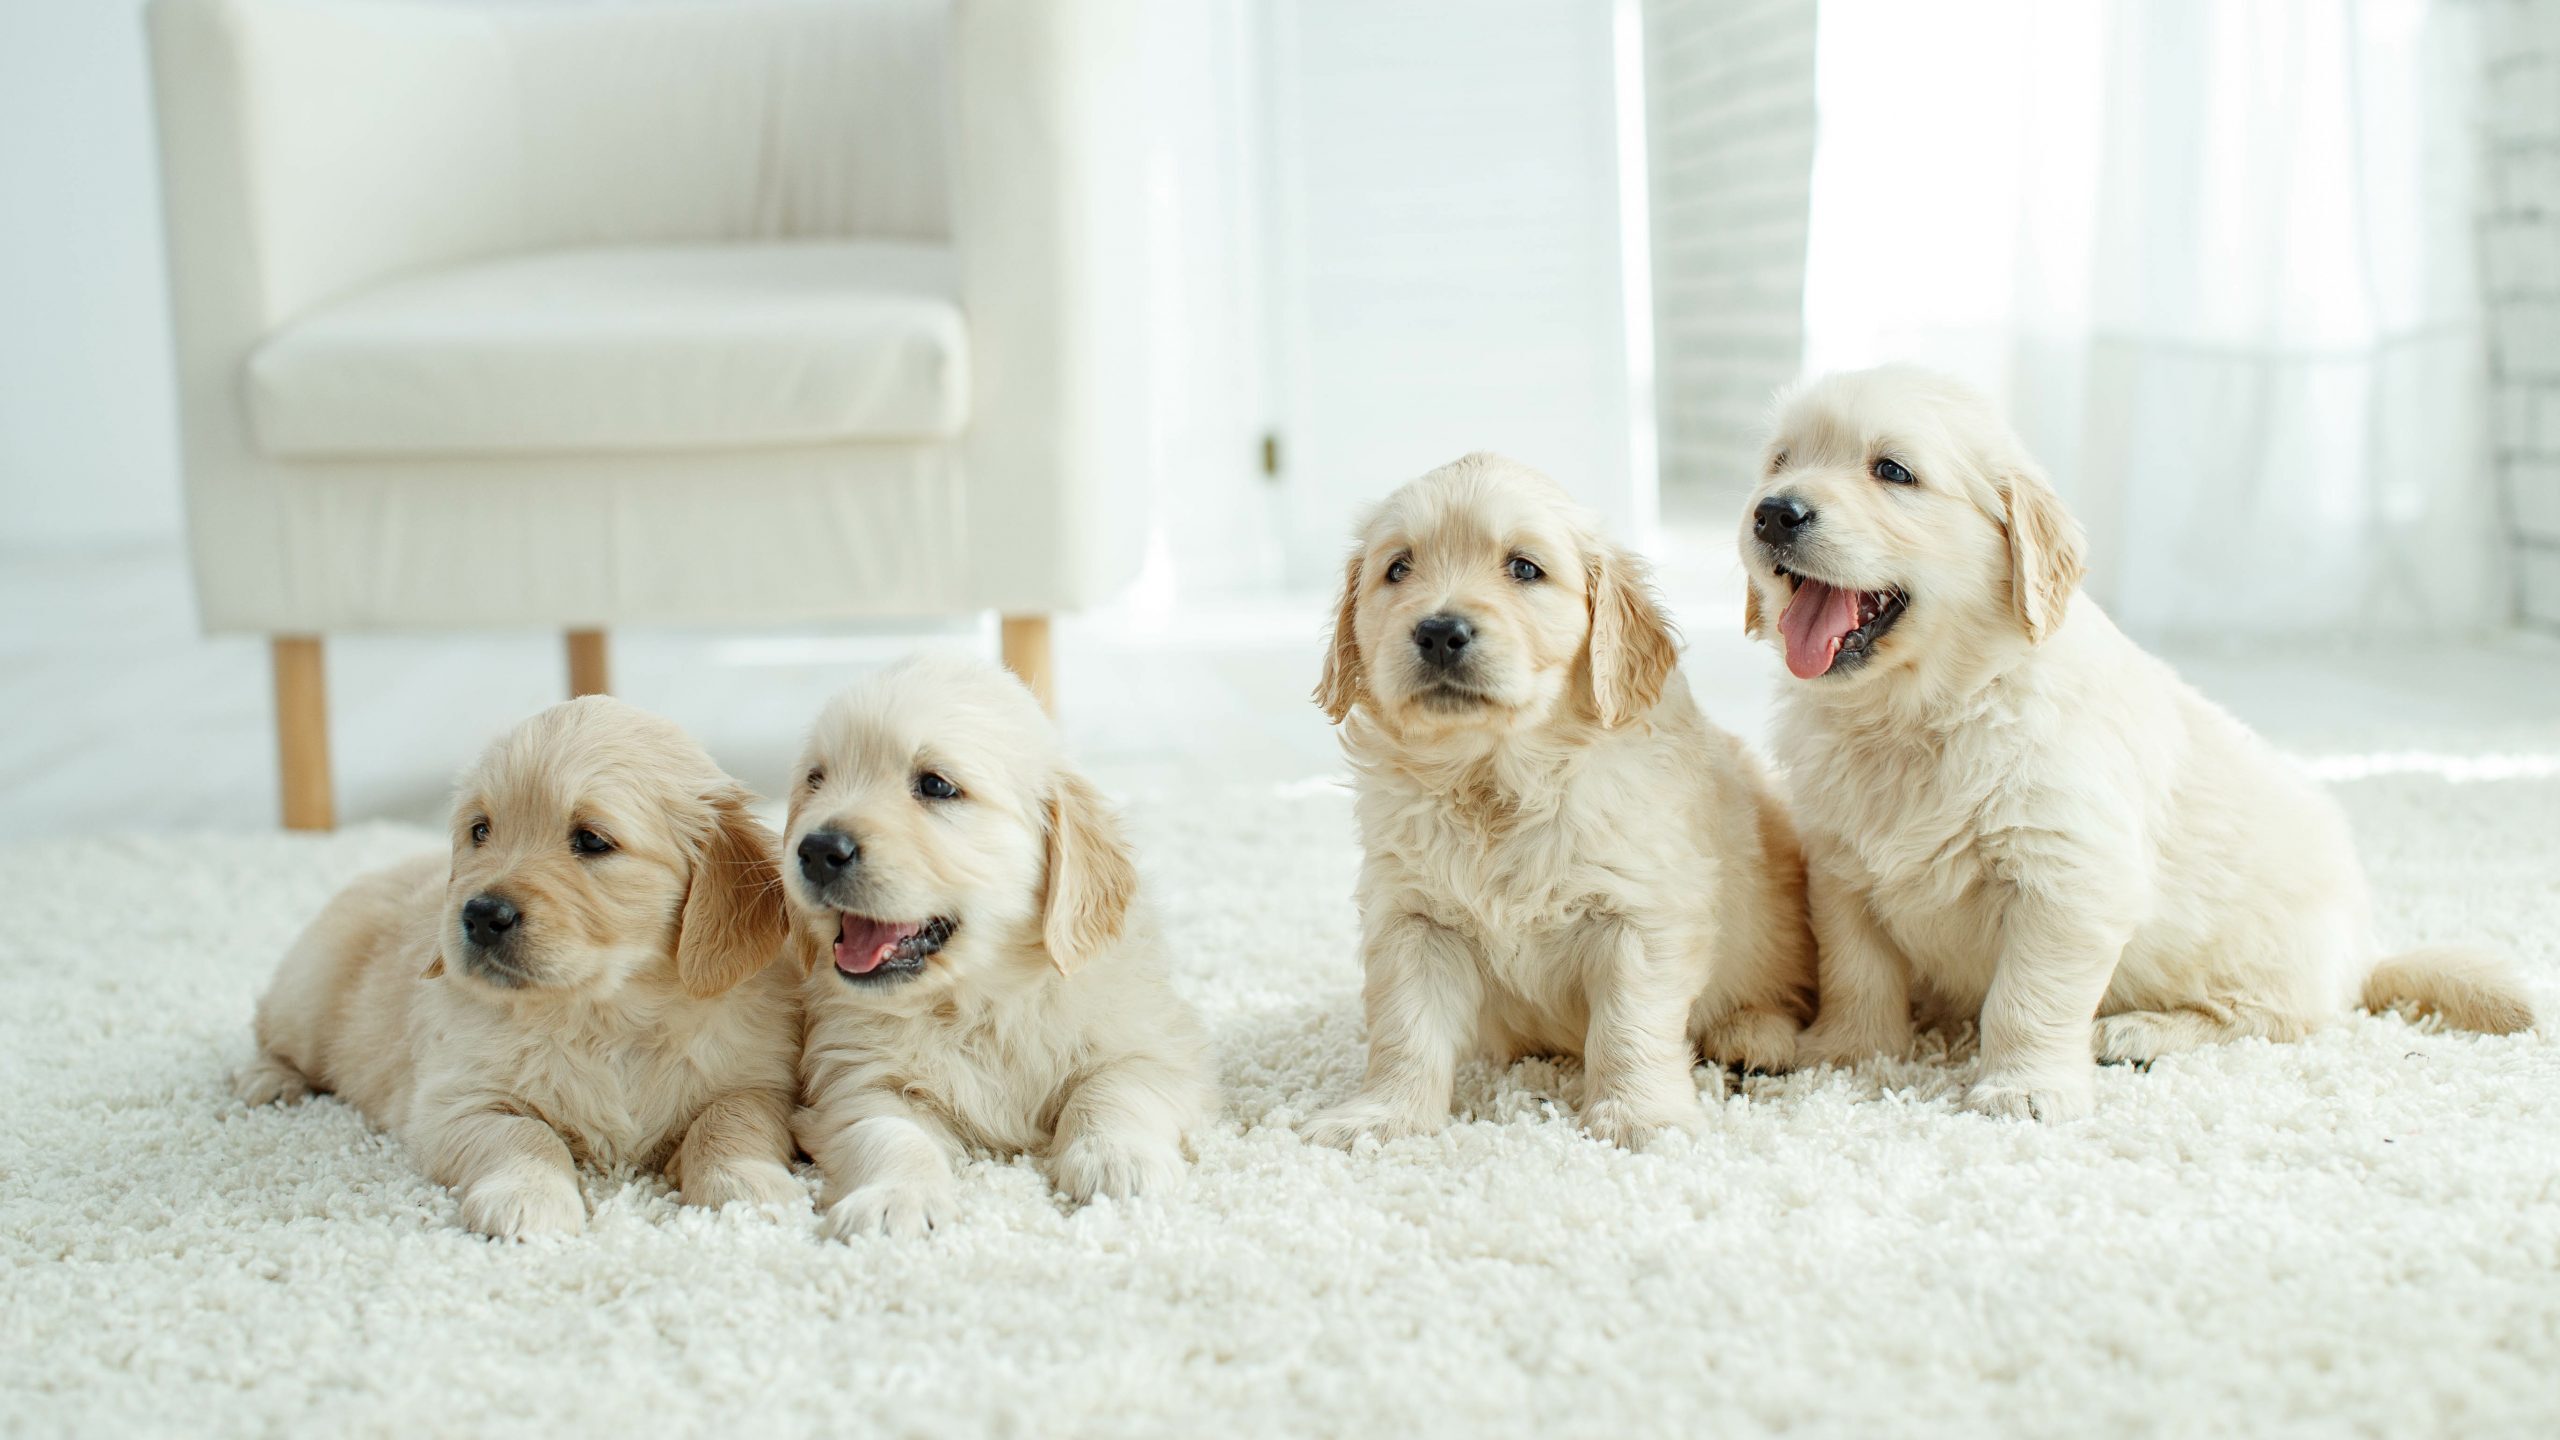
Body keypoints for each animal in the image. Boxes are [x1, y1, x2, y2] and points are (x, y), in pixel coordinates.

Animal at [239, 696, 803, 1235]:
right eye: (480, 831)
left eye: (592, 840)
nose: (481, 914)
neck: (608, 1017)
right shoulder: (457, 1100)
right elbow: (523, 1133)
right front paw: (529, 1199)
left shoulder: (761, 1080)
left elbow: (729, 1121)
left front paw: (745, 1189)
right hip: (311, 994)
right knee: (270, 1030)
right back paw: (269, 1080)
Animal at [783, 650, 1213, 1235]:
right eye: (816, 779)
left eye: (935, 786)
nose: (817, 849)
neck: (979, 1002)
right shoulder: (855, 1077)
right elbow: (888, 1133)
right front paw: (896, 1198)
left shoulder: (1151, 1040)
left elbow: (1112, 1088)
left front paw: (1117, 1160)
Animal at [1300, 448, 1822, 1142]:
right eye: (1398, 568)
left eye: (1525, 568)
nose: (1439, 631)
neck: (1496, 777)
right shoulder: (1412, 917)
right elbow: (1405, 1030)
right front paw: (1383, 1115)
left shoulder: (1641, 912)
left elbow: (1630, 1026)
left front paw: (1639, 1115)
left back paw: (1753, 1036)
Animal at [1740, 361, 2539, 1122]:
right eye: (1780, 461)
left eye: (1893, 471)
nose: (1773, 511)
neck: (1921, 711)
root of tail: (2362, 958)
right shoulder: (1841, 868)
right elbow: (1857, 972)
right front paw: (1847, 1055)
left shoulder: (2067, 878)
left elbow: (2027, 999)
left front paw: (2025, 1088)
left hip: (2263, 955)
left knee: (2277, 1019)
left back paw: (2139, 1032)